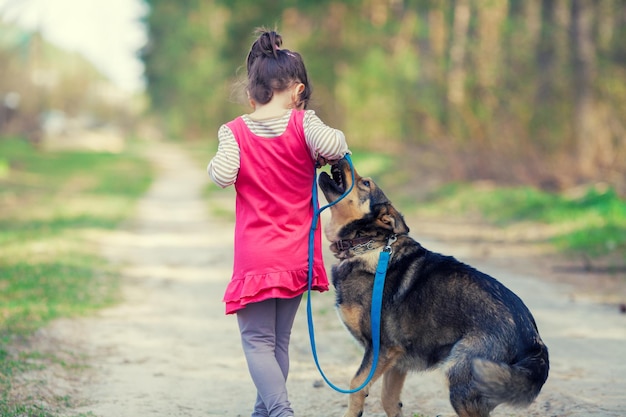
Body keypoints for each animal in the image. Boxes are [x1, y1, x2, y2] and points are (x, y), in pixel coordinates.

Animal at [316, 158, 544, 416]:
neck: (368, 244)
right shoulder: (396, 360)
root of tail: (533, 339)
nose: (343, 157)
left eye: (365, 183)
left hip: (461, 377)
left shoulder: (379, 350)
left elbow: (356, 387)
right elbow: (389, 400)